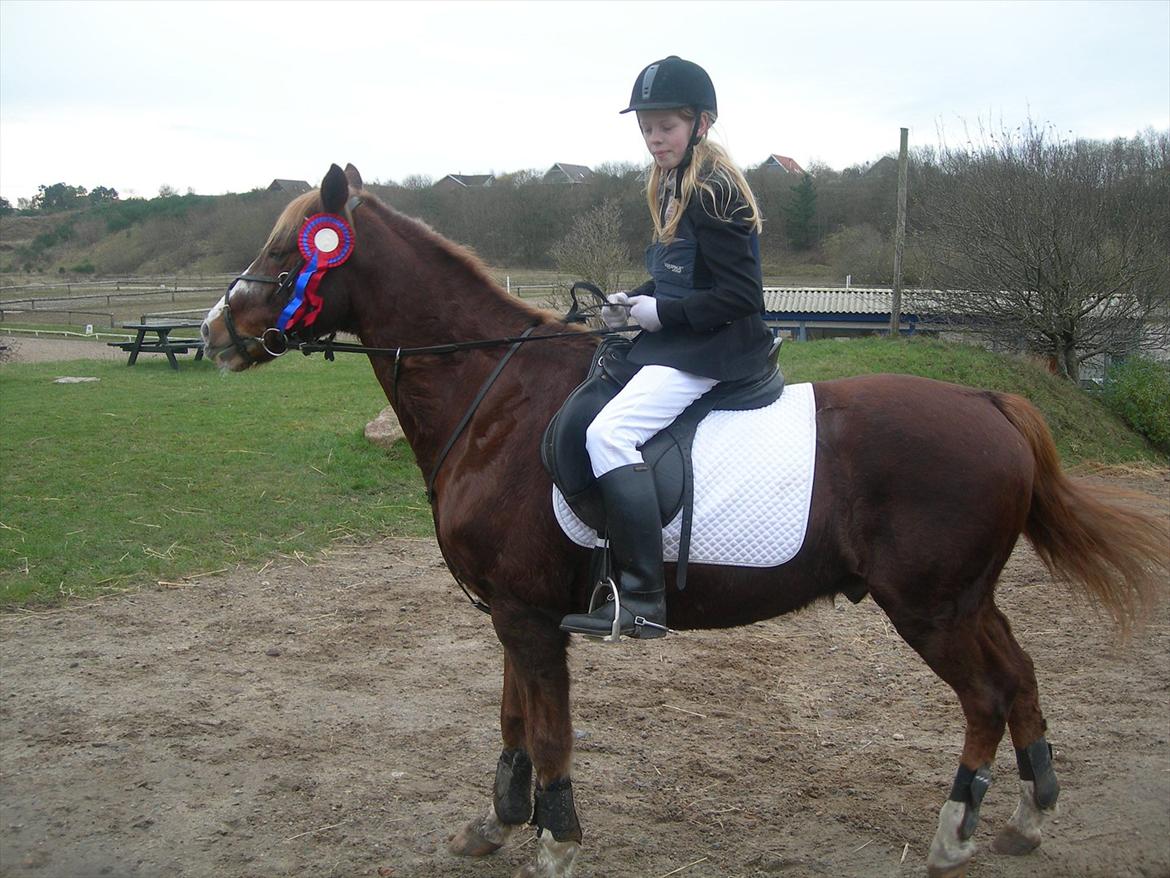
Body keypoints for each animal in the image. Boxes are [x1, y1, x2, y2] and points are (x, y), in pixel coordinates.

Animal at [200, 163, 1166, 878]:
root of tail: (989, 400)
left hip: (932, 608)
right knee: (1022, 681)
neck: (496, 398)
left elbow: (546, 731)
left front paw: (556, 840)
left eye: (289, 250)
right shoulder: (517, 615)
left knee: (988, 697)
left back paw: (954, 832)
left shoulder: (528, 616)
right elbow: (512, 723)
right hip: (970, 600)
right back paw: (1027, 820)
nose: (213, 334)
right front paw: (496, 823)